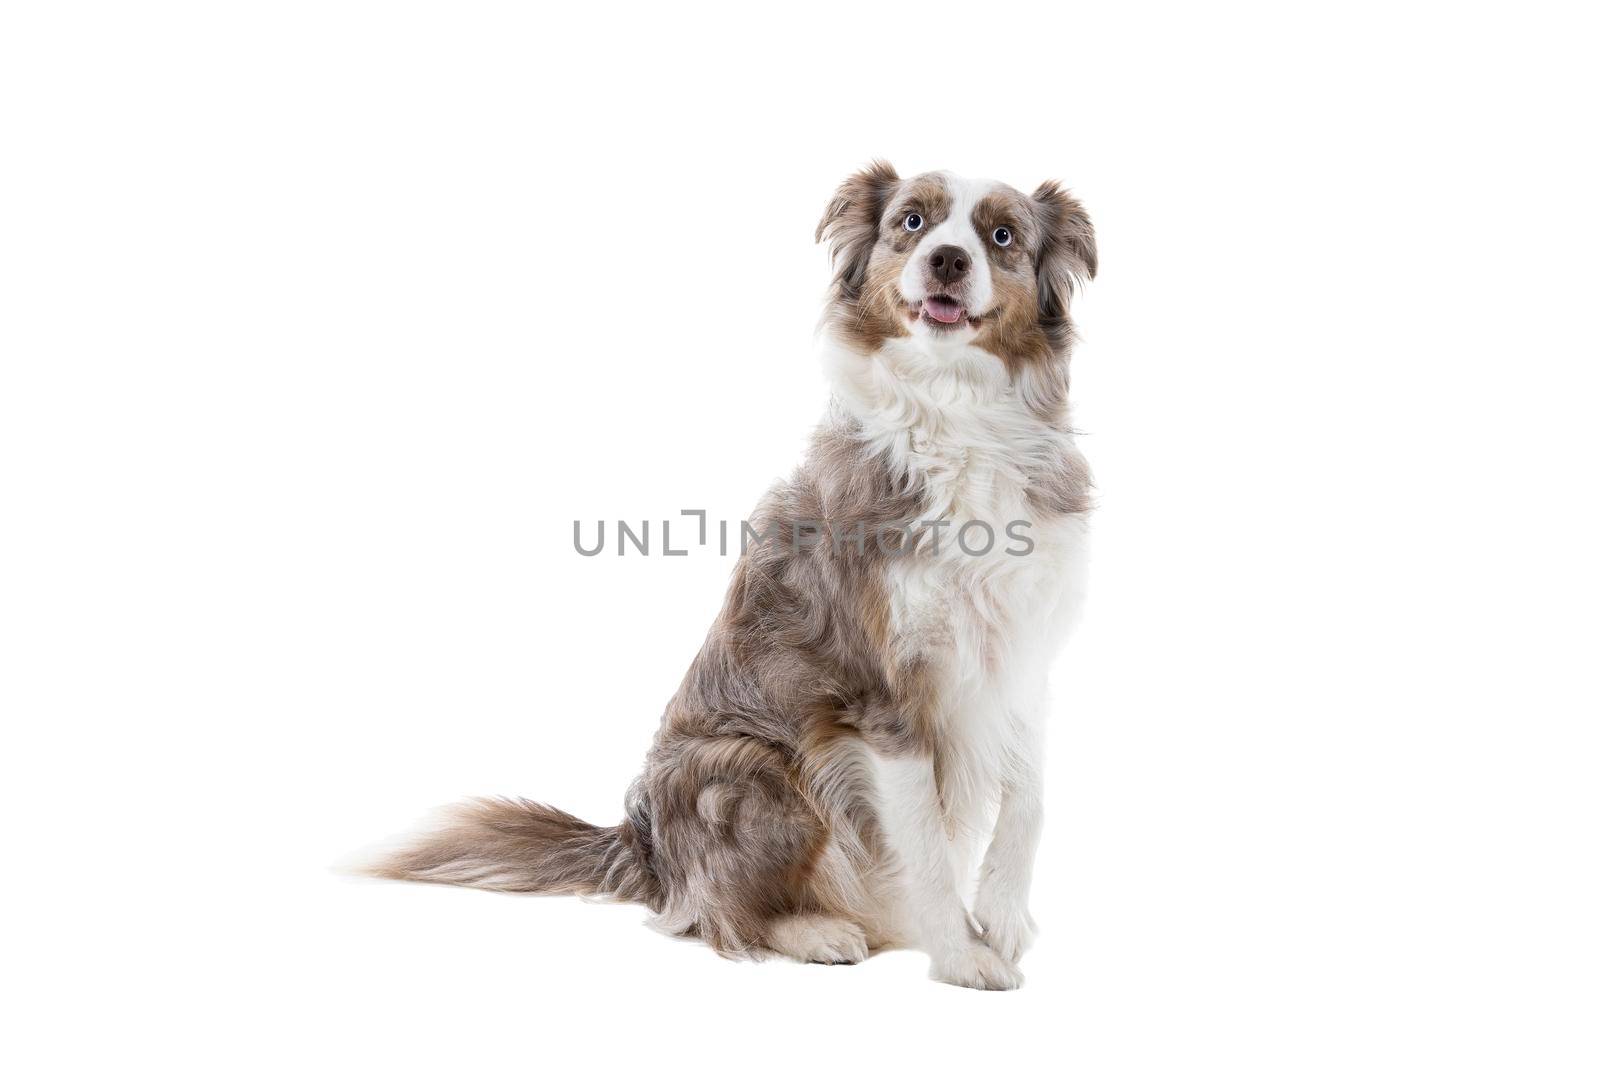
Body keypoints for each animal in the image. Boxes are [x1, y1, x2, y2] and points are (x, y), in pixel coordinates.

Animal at [369, 163, 1100, 991]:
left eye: (1001, 235)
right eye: (912, 223)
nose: (947, 259)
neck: (959, 412)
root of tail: (643, 845)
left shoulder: (1021, 651)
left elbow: (1028, 796)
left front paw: (1004, 920)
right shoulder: (883, 692)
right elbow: (928, 846)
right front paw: (959, 953)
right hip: (754, 771)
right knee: (709, 912)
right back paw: (817, 930)